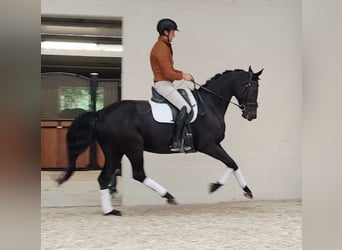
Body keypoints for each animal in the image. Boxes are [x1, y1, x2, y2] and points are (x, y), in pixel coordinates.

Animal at [57, 66, 264, 215]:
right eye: (253, 88)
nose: (251, 115)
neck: (210, 104)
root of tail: (100, 114)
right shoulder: (209, 145)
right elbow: (232, 162)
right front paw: (227, 188)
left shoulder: (213, 146)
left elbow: (232, 163)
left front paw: (238, 189)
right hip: (132, 147)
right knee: (138, 174)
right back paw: (168, 196)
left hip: (114, 151)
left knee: (104, 178)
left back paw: (110, 211)